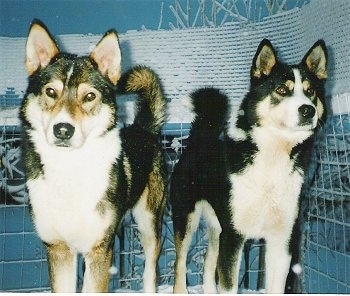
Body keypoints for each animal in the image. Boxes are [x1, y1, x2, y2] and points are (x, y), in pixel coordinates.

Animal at [20, 19, 167, 292]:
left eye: (89, 96)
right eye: (51, 92)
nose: (63, 129)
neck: (68, 170)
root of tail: (142, 127)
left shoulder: (99, 250)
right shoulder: (59, 249)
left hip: (150, 224)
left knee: (150, 273)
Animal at [171, 39, 326, 294]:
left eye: (310, 91)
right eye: (282, 90)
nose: (308, 110)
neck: (272, 159)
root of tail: (201, 138)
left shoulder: (282, 240)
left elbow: (276, 286)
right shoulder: (234, 237)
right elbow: (229, 285)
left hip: (217, 227)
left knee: (208, 263)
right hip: (186, 219)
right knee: (180, 263)